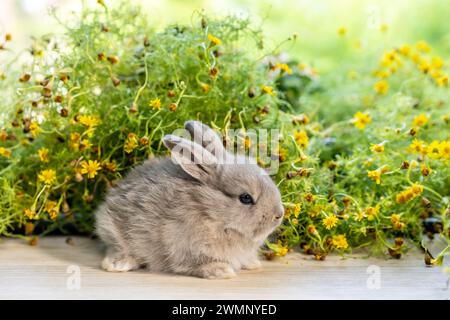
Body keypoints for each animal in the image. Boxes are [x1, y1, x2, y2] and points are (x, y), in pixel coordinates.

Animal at [95, 121, 284, 278]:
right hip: (114, 230)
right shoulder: (182, 246)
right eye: (245, 198)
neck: (211, 213)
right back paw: (117, 265)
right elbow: (196, 264)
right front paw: (222, 271)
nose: (279, 214)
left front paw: (253, 264)